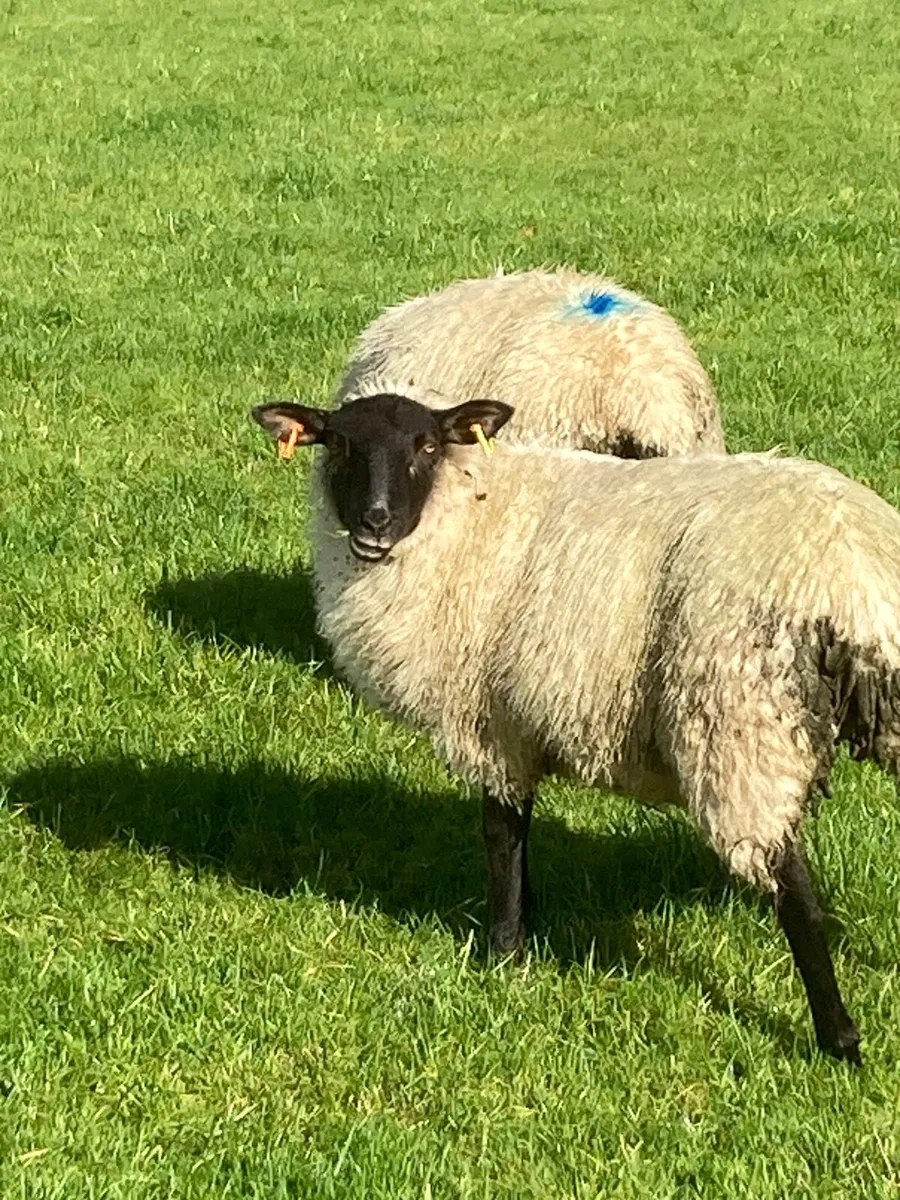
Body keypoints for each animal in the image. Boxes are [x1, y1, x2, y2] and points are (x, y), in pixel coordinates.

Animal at [252, 391, 900, 1065]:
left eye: (427, 445)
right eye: (340, 443)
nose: (374, 522)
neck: (462, 512)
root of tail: (856, 573)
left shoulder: (492, 726)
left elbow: (501, 835)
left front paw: (503, 950)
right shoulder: (517, 724)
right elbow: (520, 837)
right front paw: (528, 924)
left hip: (739, 719)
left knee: (794, 892)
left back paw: (839, 1039)